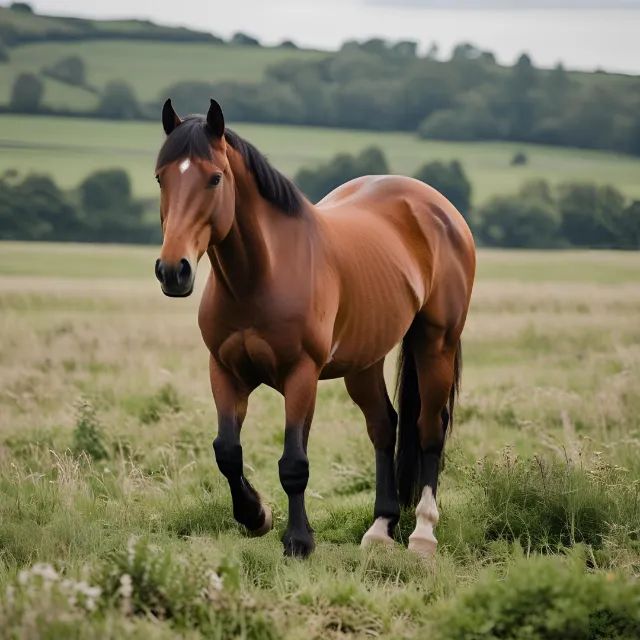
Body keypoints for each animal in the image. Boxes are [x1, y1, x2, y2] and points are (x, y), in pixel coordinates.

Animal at [154, 99, 476, 558]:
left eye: (214, 177)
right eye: (161, 178)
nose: (172, 270)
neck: (260, 276)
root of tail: (438, 207)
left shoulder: (301, 375)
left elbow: (294, 462)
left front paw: (299, 540)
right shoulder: (225, 371)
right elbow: (227, 452)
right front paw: (256, 516)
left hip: (436, 345)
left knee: (428, 428)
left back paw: (423, 533)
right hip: (364, 362)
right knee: (384, 426)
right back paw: (380, 528)